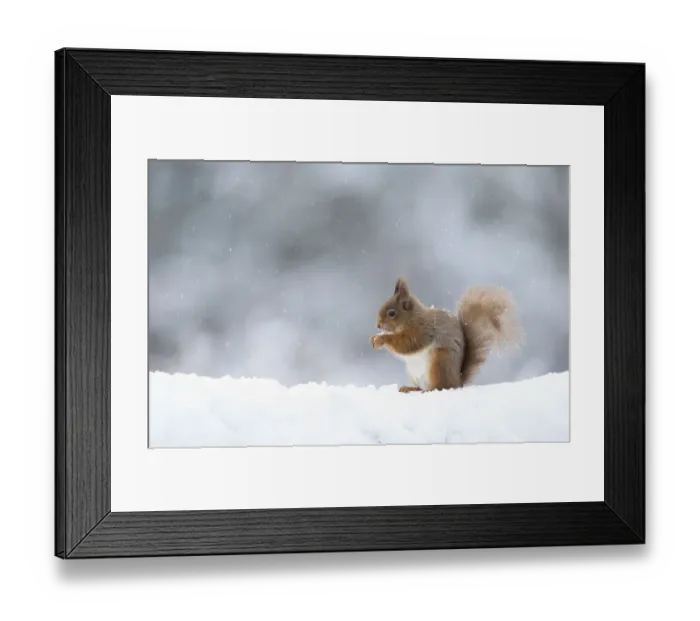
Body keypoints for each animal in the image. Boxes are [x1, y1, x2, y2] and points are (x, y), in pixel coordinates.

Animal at [370, 277, 523, 393]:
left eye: (391, 313)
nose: (378, 325)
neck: (412, 318)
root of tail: (457, 382)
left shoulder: (422, 330)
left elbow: (407, 344)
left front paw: (381, 339)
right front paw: (373, 339)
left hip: (439, 362)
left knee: (440, 387)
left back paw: (428, 390)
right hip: (414, 372)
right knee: (421, 387)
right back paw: (410, 388)